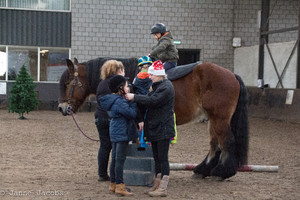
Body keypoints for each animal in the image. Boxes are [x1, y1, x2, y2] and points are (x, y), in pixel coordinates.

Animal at [58, 56, 248, 180]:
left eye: (67, 83)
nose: (61, 108)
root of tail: (231, 75)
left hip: (219, 118)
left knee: (226, 142)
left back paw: (221, 173)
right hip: (212, 119)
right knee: (214, 144)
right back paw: (203, 170)